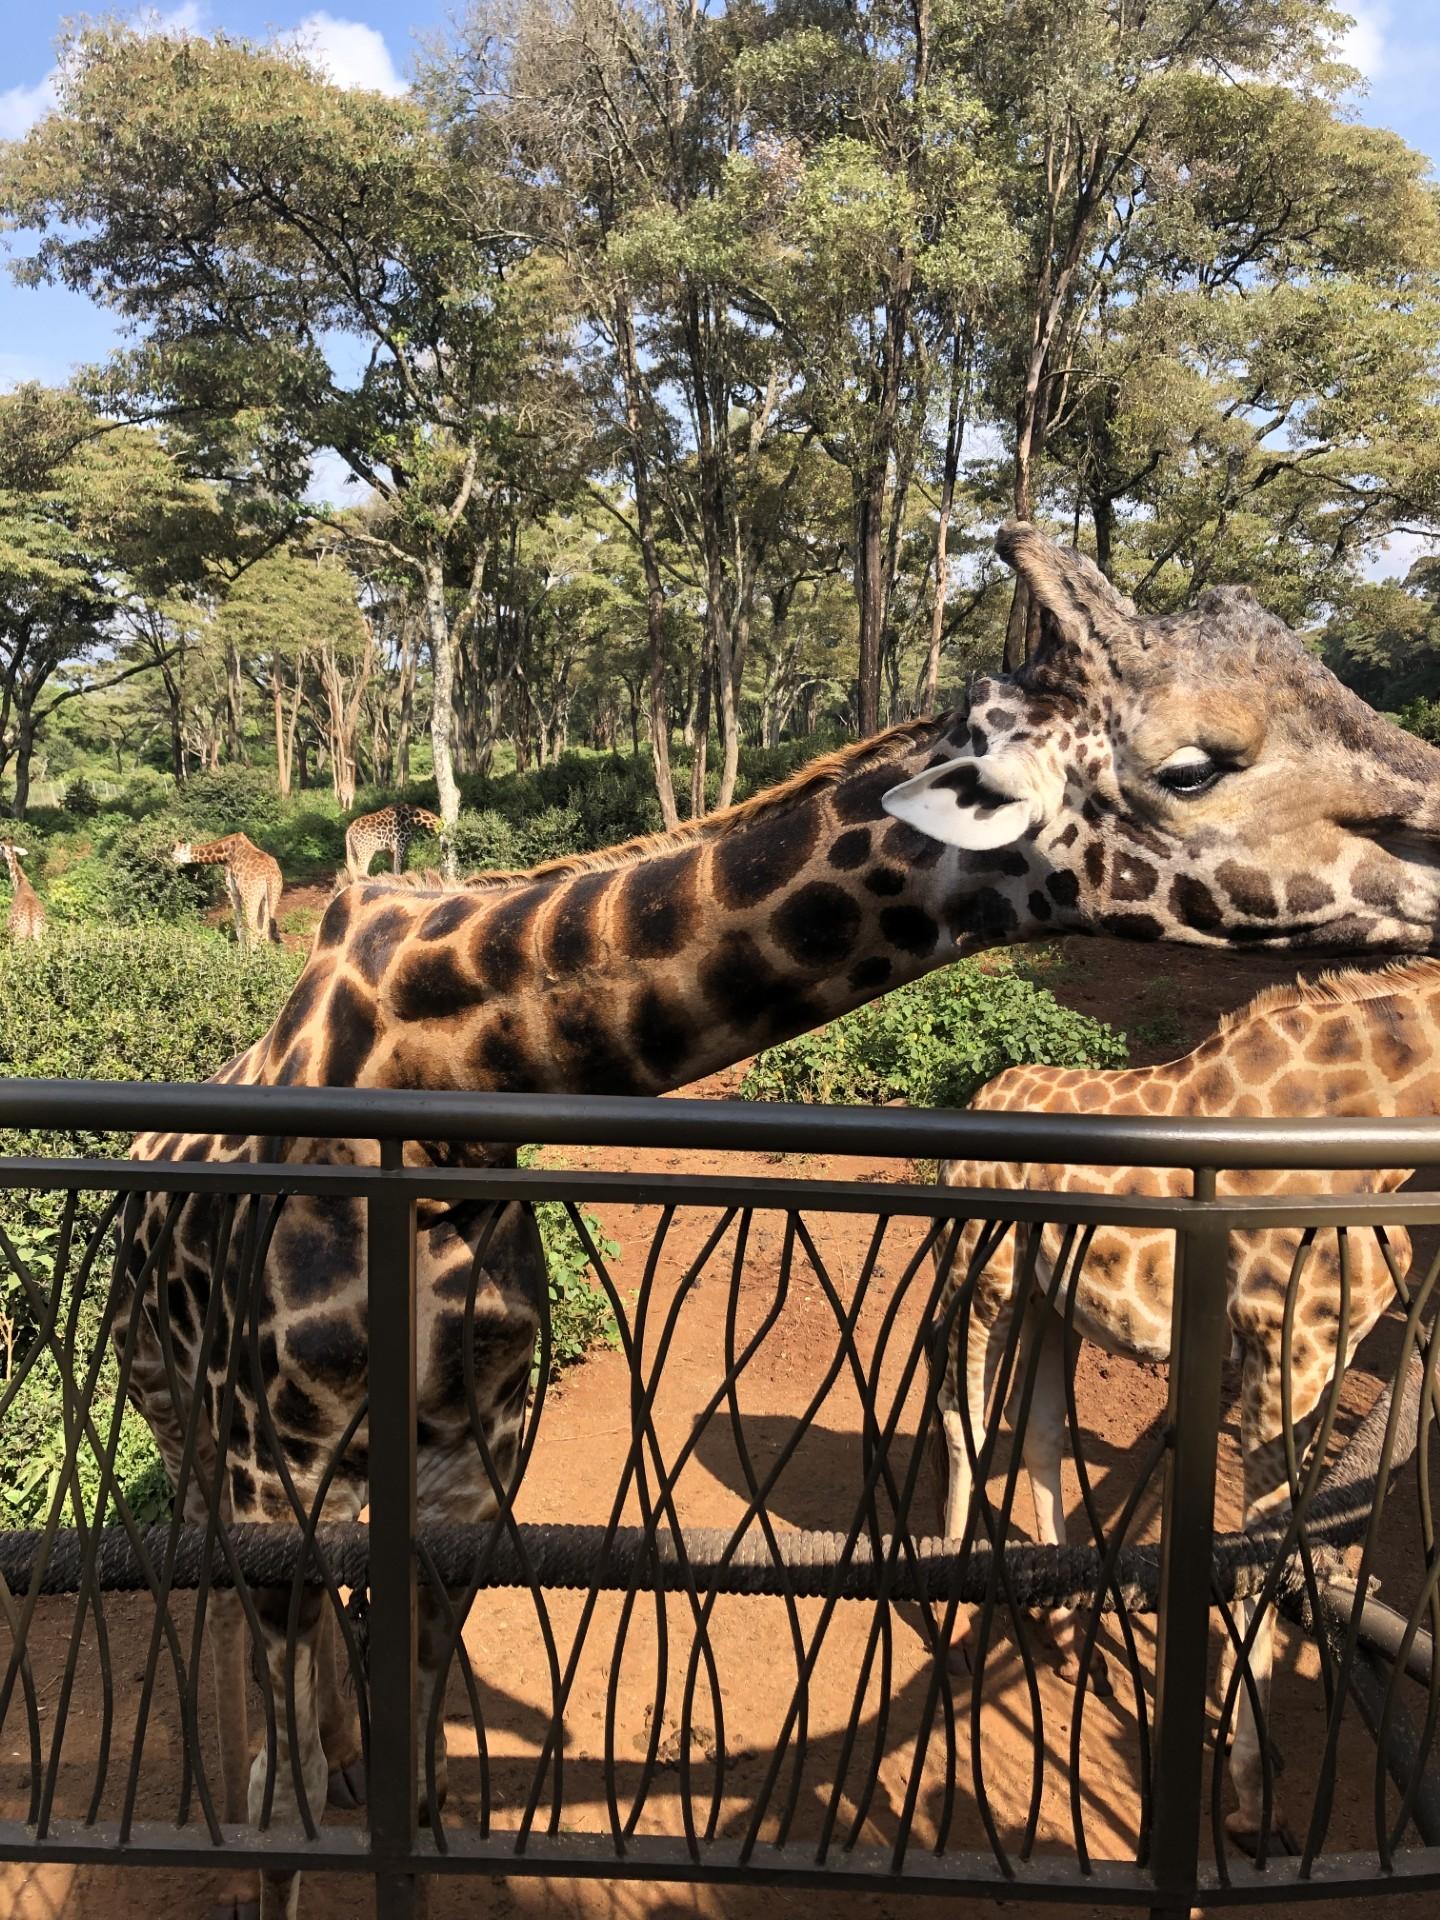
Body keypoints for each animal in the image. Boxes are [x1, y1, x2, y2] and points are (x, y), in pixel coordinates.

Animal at [934, 960, 1440, 1853]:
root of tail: (979, 1096)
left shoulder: (1324, 1359)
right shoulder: (1281, 1346)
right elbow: (1254, 1549)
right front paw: (1252, 1797)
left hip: (1050, 1299)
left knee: (1038, 1432)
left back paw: (1065, 1630)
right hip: (984, 1271)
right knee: (964, 1416)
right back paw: (951, 1629)